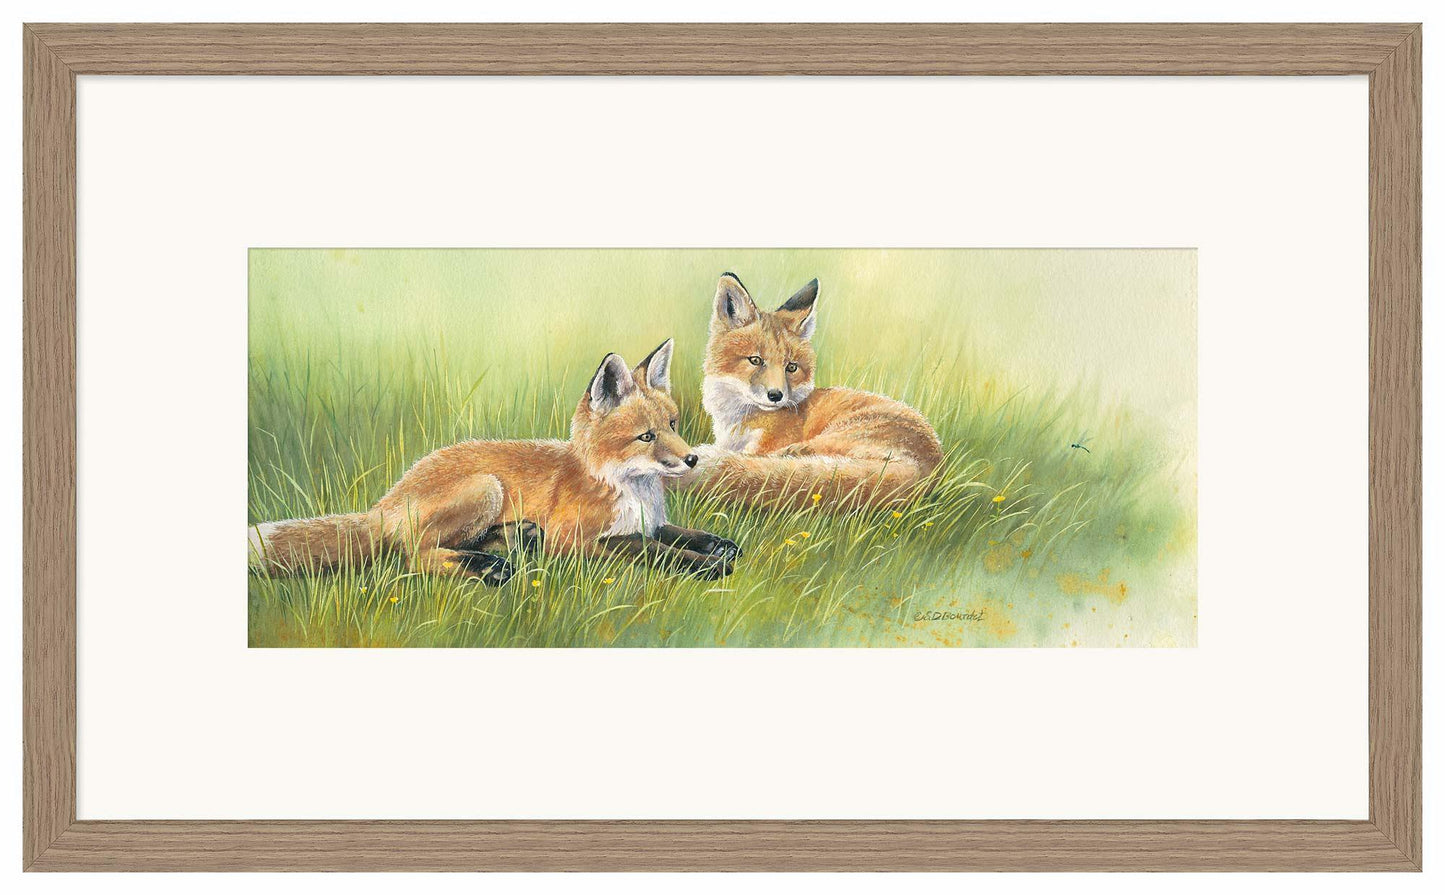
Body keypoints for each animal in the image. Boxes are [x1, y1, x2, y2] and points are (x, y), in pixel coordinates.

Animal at [249, 339, 740, 584]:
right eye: (646, 437)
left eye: (673, 424)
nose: (692, 459)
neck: (628, 489)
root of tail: (385, 501)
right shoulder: (576, 539)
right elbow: (650, 549)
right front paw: (708, 565)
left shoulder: (649, 522)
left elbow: (676, 533)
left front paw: (717, 544)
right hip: (486, 486)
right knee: (411, 557)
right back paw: (488, 568)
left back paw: (512, 542)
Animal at [681, 272, 943, 511]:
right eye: (755, 360)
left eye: (791, 367)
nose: (776, 396)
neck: (739, 421)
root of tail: (926, 471)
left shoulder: (763, 446)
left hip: (827, 439)